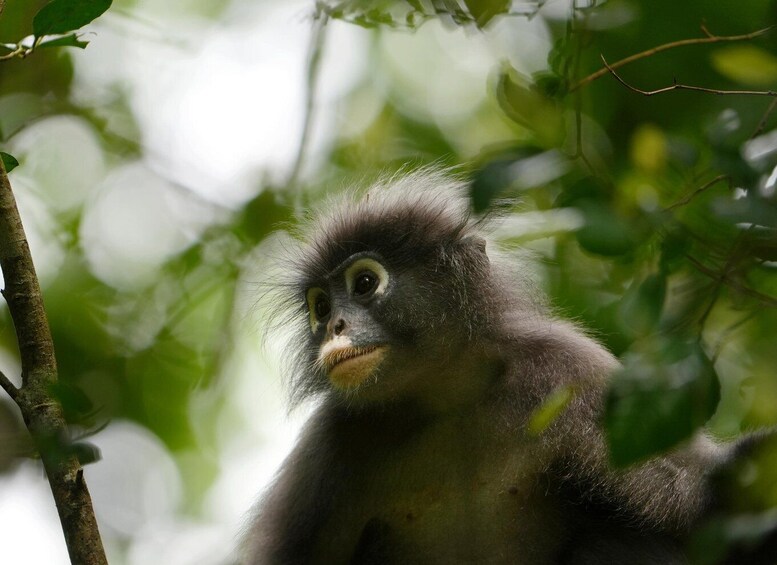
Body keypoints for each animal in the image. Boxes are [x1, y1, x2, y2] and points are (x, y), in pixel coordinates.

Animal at [246, 170, 736, 560]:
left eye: (365, 283)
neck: (446, 397)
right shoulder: (330, 444)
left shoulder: (570, 369)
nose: (335, 326)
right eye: (321, 308)